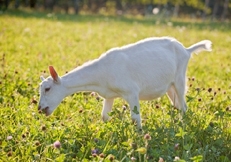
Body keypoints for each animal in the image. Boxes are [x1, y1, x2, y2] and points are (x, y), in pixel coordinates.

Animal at [38, 37, 213, 129]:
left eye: (47, 89)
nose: (40, 109)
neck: (101, 72)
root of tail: (187, 50)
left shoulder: (131, 92)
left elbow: (136, 118)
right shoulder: (109, 95)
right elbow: (104, 116)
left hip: (180, 77)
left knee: (183, 105)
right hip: (169, 86)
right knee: (178, 105)